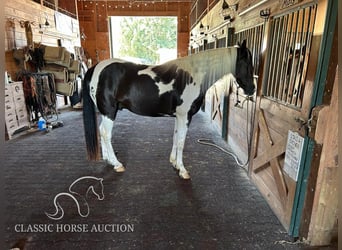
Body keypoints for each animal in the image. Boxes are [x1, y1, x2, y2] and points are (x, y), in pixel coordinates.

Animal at [82, 40, 254, 179]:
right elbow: (181, 141)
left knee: (101, 131)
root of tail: (95, 68)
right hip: (110, 112)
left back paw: (108, 159)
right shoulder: (185, 116)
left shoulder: (179, 116)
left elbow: (175, 137)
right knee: (106, 133)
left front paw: (174, 163)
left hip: (105, 112)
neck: (193, 76)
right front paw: (183, 170)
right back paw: (117, 164)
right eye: (247, 64)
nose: (252, 90)